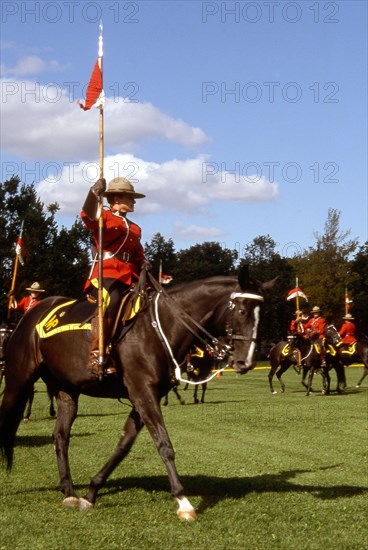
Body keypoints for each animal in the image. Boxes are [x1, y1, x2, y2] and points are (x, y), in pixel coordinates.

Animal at [0, 268, 276, 520]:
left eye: (261, 314)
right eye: (242, 311)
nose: (246, 362)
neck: (159, 327)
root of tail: (32, 314)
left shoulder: (142, 396)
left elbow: (124, 445)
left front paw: (91, 492)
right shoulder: (144, 392)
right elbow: (164, 444)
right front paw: (183, 501)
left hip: (66, 390)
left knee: (61, 435)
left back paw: (68, 491)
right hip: (17, 381)